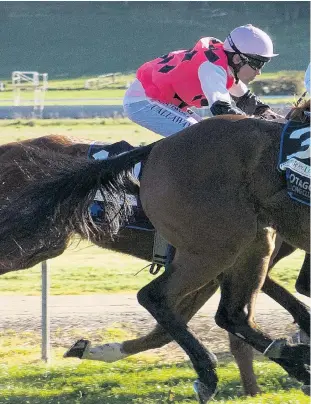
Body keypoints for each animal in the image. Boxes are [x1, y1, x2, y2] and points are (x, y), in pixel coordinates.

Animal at [0, 108, 310, 400]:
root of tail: (156, 149)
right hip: (217, 247)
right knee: (156, 296)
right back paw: (215, 373)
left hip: (239, 243)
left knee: (230, 313)